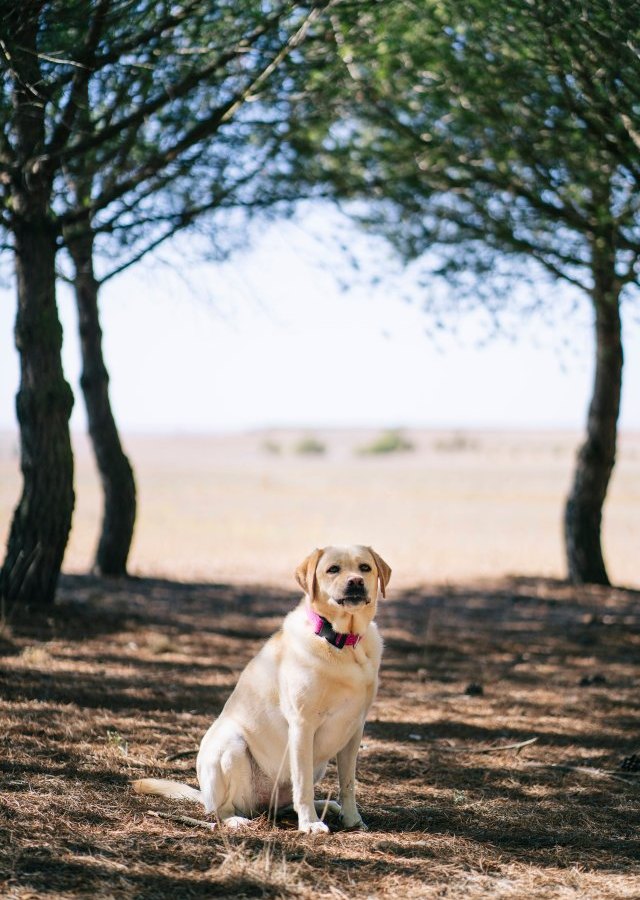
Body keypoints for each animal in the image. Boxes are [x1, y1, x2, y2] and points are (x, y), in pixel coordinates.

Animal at [135, 544, 390, 832]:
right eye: (333, 569)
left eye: (364, 568)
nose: (355, 582)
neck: (341, 643)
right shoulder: (302, 726)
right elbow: (303, 785)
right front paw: (310, 824)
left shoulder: (354, 729)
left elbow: (348, 783)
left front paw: (352, 818)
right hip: (231, 744)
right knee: (223, 809)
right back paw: (236, 819)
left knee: (287, 803)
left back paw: (327, 806)